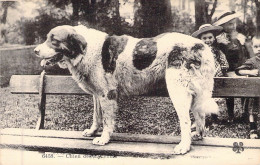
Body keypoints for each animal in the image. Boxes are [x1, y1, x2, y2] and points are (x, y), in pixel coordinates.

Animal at [34, 24, 217, 155]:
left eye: (54, 40)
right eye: (47, 38)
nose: (35, 50)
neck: (85, 50)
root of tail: (200, 45)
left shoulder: (107, 94)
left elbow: (107, 120)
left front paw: (103, 139)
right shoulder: (97, 95)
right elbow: (96, 116)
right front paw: (93, 131)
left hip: (178, 90)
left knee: (185, 121)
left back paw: (184, 146)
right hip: (195, 93)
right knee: (200, 115)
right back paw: (198, 135)